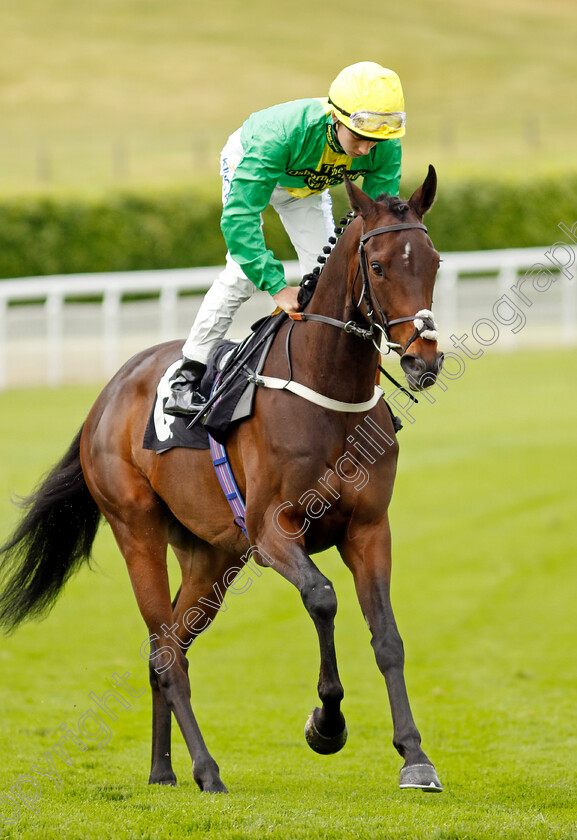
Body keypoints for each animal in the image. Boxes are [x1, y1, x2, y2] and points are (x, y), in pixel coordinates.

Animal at [0, 169, 444, 796]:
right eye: (378, 266)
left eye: (433, 262)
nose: (424, 358)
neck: (327, 391)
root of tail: (107, 393)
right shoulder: (271, 532)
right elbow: (322, 598)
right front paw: (326, 724)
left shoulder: (368, 529)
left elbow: (387, 636)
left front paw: (414, 756)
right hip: (137, 529)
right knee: (166, 653)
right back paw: (206, 770)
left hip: (211, 557)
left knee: (168, 646)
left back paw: (163, 769)